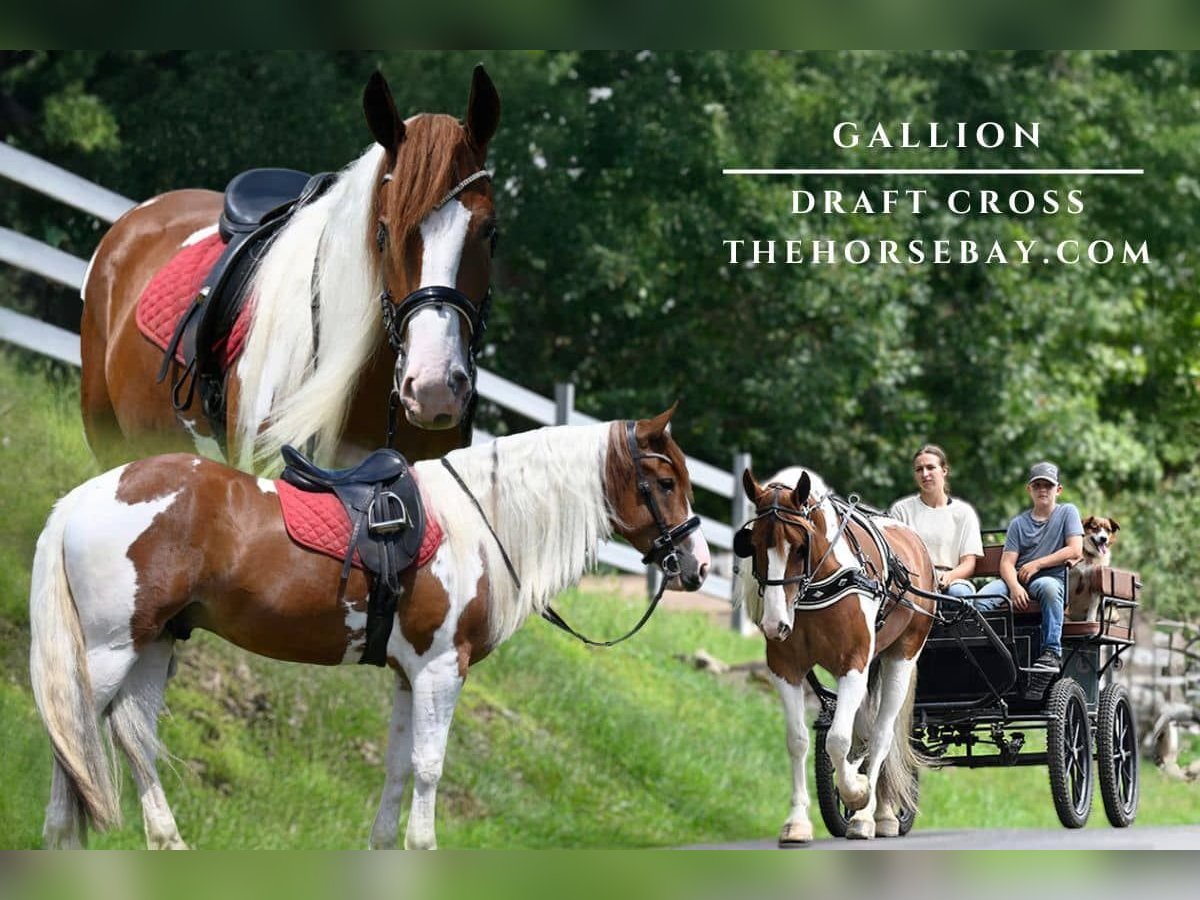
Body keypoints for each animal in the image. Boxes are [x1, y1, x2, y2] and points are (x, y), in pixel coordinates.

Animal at [28, 408, 705, 854]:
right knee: (72, 741)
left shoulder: (411, 677)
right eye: (665, 482)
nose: (695, 566)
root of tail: (84, 498)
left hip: (154, 646)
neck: (477, 524)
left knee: (134, 743)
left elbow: (399, 769)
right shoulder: (441, 671)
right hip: (109, 651)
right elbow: (429, 767)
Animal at [729, 468, 936, 844]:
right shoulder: (785, 669)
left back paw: (867, 815)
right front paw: (797, 821)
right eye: (754, 545)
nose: (775, 624)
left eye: (801, 546)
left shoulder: (853, 663)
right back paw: (884, 814)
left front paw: (855, 794)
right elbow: (798, 740)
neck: (817, 586)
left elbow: (838, 740)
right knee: (866, 733)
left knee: (881, 736)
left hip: (901, 657)